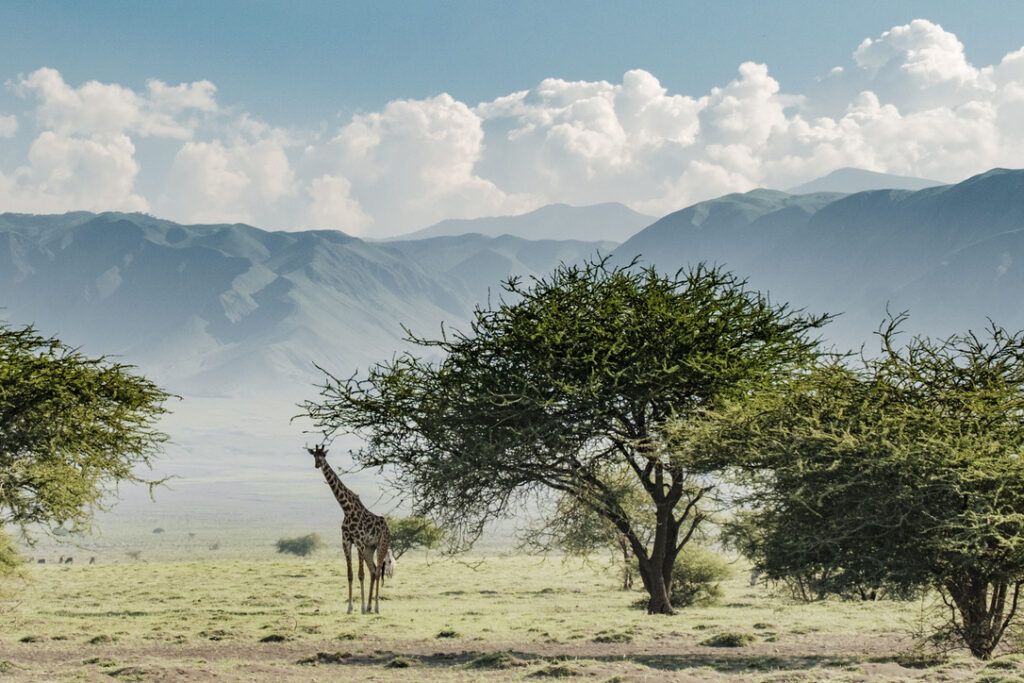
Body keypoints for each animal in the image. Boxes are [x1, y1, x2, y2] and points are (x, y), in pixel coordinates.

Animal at [307, 445, 393, 614]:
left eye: (323, 455)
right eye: (314, 455)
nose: (317, 464)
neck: (346, 509)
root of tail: (388, 529)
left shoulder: (359, 542)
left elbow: (360, 574)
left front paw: (360, 607)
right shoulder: (346, 542)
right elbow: (350, 575)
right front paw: (350, 608)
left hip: (382, 545)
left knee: (378, 571)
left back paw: (376, 607)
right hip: (369, 548)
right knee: (373, 570)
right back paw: (370, 606)